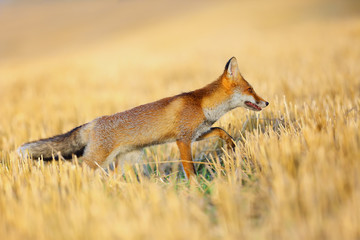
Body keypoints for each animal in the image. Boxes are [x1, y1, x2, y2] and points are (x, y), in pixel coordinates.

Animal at [18, 57, 268, 179]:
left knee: (114, 178)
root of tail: (92, 122)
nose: (266, 103)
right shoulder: (183, 140)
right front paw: (194, 186)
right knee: (76, 173)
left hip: (126, 161)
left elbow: (221, 130)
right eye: (251, 89)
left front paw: (231, 144)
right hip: (97, 162)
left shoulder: (196, 134)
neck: (202, 105)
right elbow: (189, 167)